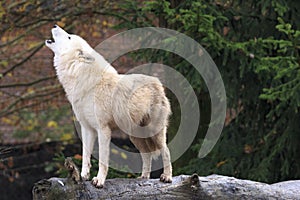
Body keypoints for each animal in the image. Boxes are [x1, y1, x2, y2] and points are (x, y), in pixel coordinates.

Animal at [44, 25, 171, 188]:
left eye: (69, 37)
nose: (54, 25)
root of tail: (158, 82)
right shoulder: (87, 128)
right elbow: (85, 155)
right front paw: (83, 176)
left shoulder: (103, 129)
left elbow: (103, 160)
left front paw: (99, 180)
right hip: (135, 136)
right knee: (147, 154)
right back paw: (143, 177)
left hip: (154, 132)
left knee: (166, 151)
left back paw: (167, 177)